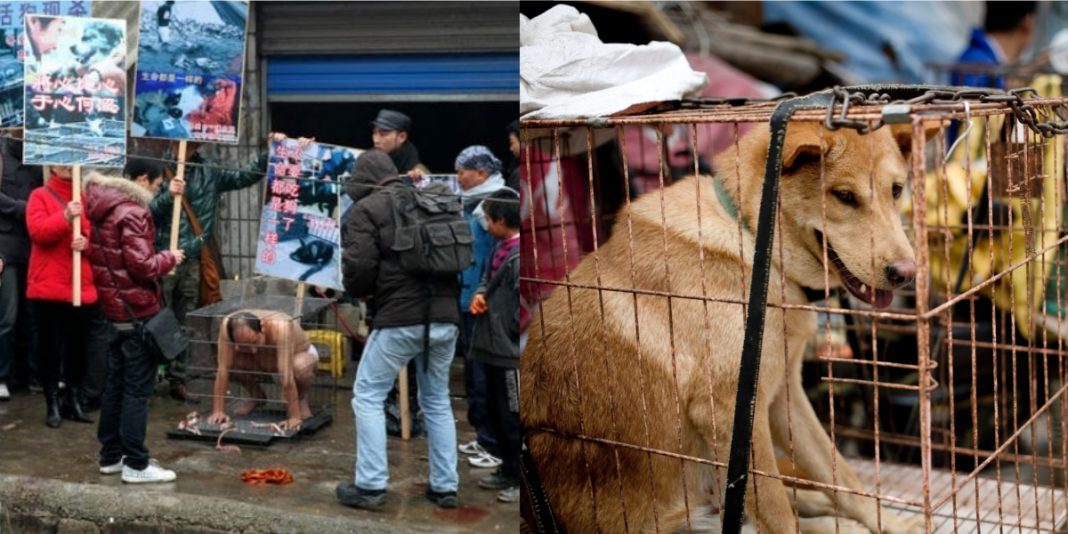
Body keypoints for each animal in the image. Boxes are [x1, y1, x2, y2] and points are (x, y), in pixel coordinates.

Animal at [521, 122, 931, 534]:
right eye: (844, 196)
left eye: (897, 190)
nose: (906, 274)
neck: (752, 239)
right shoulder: (730, 410)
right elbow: (778, 511)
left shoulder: (784, 396)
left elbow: (842, 475)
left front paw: (892, 523)